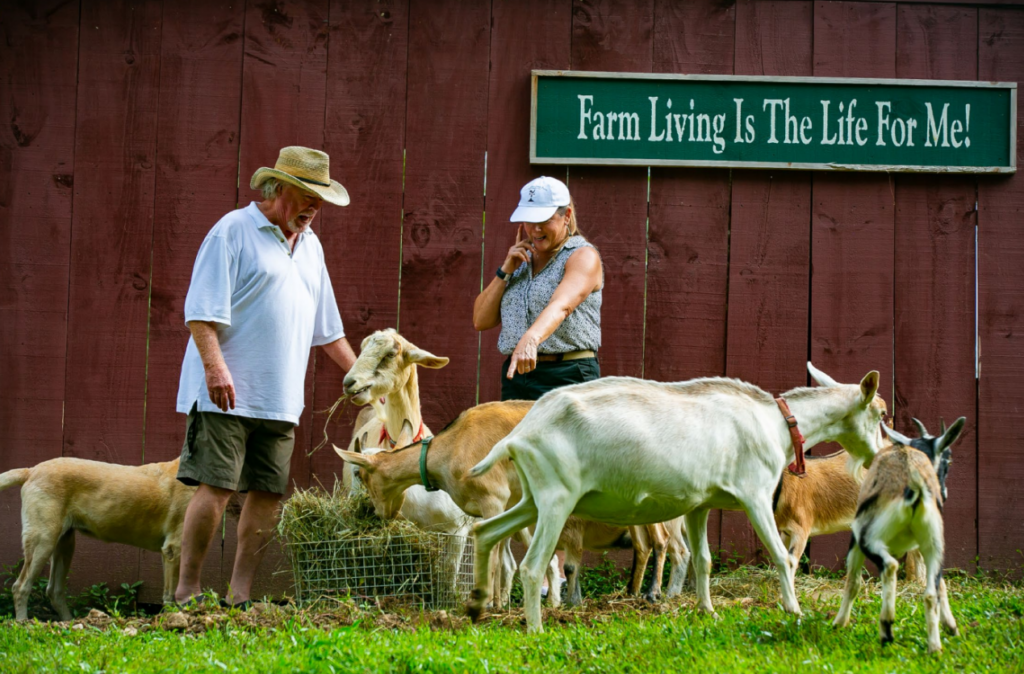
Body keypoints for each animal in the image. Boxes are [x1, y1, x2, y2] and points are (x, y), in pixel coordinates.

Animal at [468, 362, 884, 630]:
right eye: (880, 414)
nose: (877, 456)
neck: (777, 422)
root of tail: (521, 433)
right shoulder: (755, 495)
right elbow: (783, 557)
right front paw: (794, 611)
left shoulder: (700, 505)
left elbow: (703, 560)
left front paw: (707, 611)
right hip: (556, 499)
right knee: (532, 565)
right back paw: (535, 629)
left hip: (532, 499)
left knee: (485, 532)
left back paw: (476, 607)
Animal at [831, 417, 966, 647]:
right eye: (948, 461)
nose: (944, 493)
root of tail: (914, 480)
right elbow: (941, 585)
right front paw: (951, 626)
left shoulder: (856, 539)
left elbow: (853, 582)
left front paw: (839, 623)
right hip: (932, 544)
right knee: (930, 593)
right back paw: (934, 647)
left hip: (871, 539)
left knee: (891, 566)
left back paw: (886, 628)